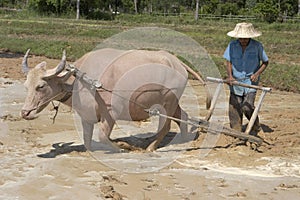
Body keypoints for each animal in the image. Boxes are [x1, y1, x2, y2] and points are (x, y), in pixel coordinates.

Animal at [21, 48, 206, 152]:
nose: (25, 113)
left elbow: (103, 137)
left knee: (166, 125)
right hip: (172, 102)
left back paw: (151, 147)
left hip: (168, 102)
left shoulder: (110, 113)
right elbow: (87, 140)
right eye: (26, 85)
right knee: (183, 116)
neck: (80, 83)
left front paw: (125, 146)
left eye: (41, 86)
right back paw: (183, 140)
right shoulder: (86, 116)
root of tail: (176, 62)